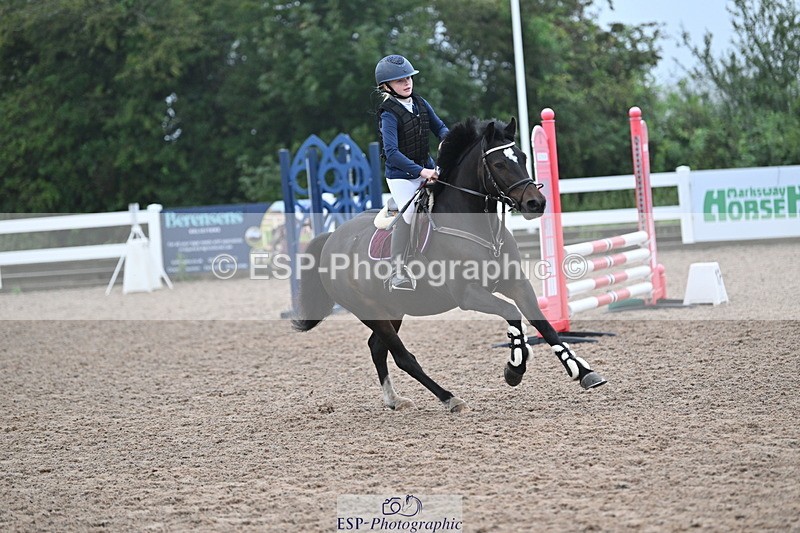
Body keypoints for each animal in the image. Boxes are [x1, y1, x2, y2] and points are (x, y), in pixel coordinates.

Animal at [291, 117, 606, 412]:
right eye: (499, 164)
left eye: (523, 158)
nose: (535, 203)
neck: (479, 227)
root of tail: (332, 238)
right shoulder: (468, 294)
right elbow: (512, 313)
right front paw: (515, 366)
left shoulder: (517, 283)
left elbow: (543, 323)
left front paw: (582, 371)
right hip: (372, 312)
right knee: (403, 357)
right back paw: (449, 398)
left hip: (392, 310)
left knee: (377, 348)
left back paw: (394, 400)